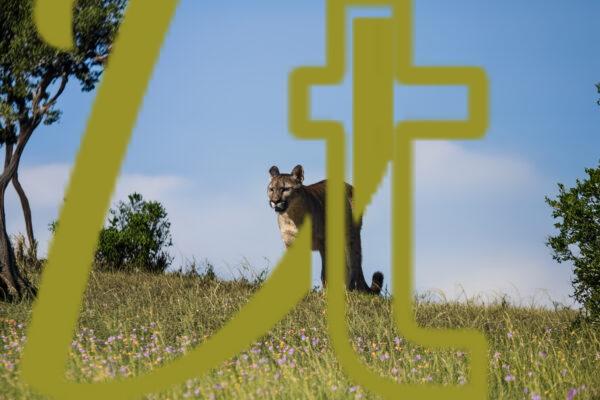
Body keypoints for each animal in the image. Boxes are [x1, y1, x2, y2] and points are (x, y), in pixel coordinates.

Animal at [268, 162, 384, 294]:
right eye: (271, 189)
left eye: (286, 189)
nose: (274, 201)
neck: (291, 216)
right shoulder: (291, 243)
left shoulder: (324, 243)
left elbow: (325, 271)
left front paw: (325, 293)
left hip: (351, 236)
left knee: (354, 263)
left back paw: (353, 291)